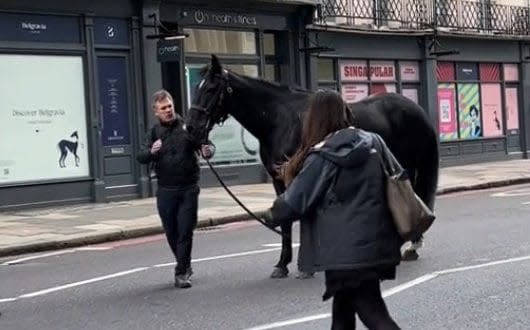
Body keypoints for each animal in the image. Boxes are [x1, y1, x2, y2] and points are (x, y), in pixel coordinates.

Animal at [187, 54, 438, 278]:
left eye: (210, 89)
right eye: (197, 87)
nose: (191, 129)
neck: (279, 119)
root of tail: (417, 109)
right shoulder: (279, 179)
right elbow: (285, 220)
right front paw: (282, 264)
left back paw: (411, 246)